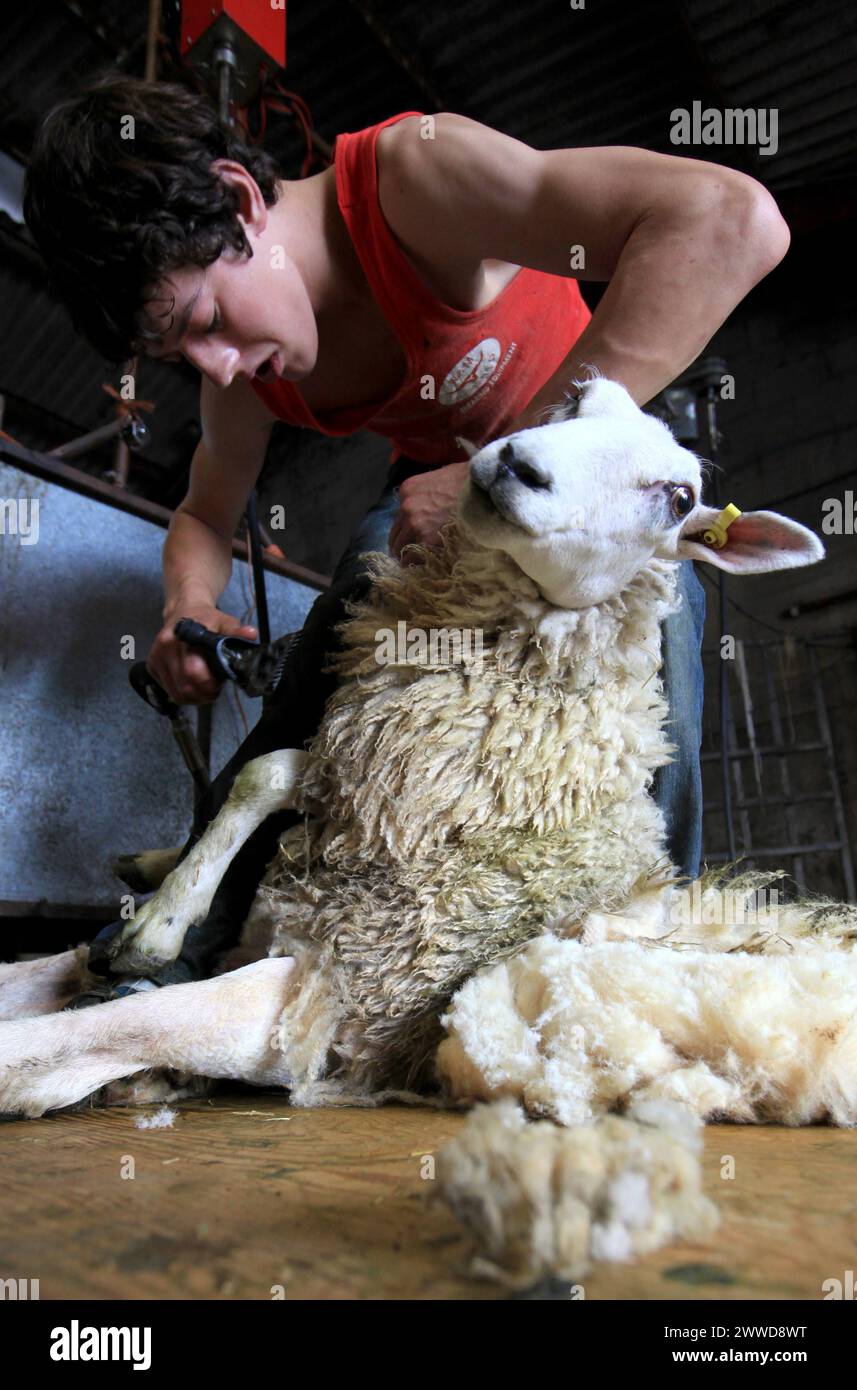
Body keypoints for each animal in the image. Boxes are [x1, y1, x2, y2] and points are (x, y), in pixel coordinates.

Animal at [1, 376, 845, 1286]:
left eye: (679, 498)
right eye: (576, 399)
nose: (516, 464)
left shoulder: (333, 993)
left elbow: (127, 1020)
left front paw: (35, 1066)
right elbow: (271, 773)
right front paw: (156, 925)